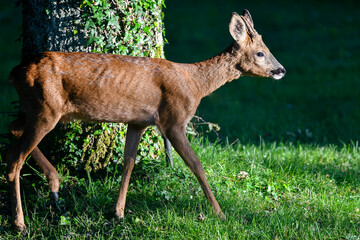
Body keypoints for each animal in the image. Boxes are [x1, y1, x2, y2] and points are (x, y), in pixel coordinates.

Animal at [6, 9, 284, 232]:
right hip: (46, 108)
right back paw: (19, 223)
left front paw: (118, 212)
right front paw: (220, 213)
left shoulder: (137, 121)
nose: (281, 70)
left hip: (38, 108)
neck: (195, 84)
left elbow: (128, 162)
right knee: (15, 160)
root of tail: (15, 72)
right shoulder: (173, 119)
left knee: (13, 130)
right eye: (261, 53)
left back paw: (54, 185)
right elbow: (196, 165)